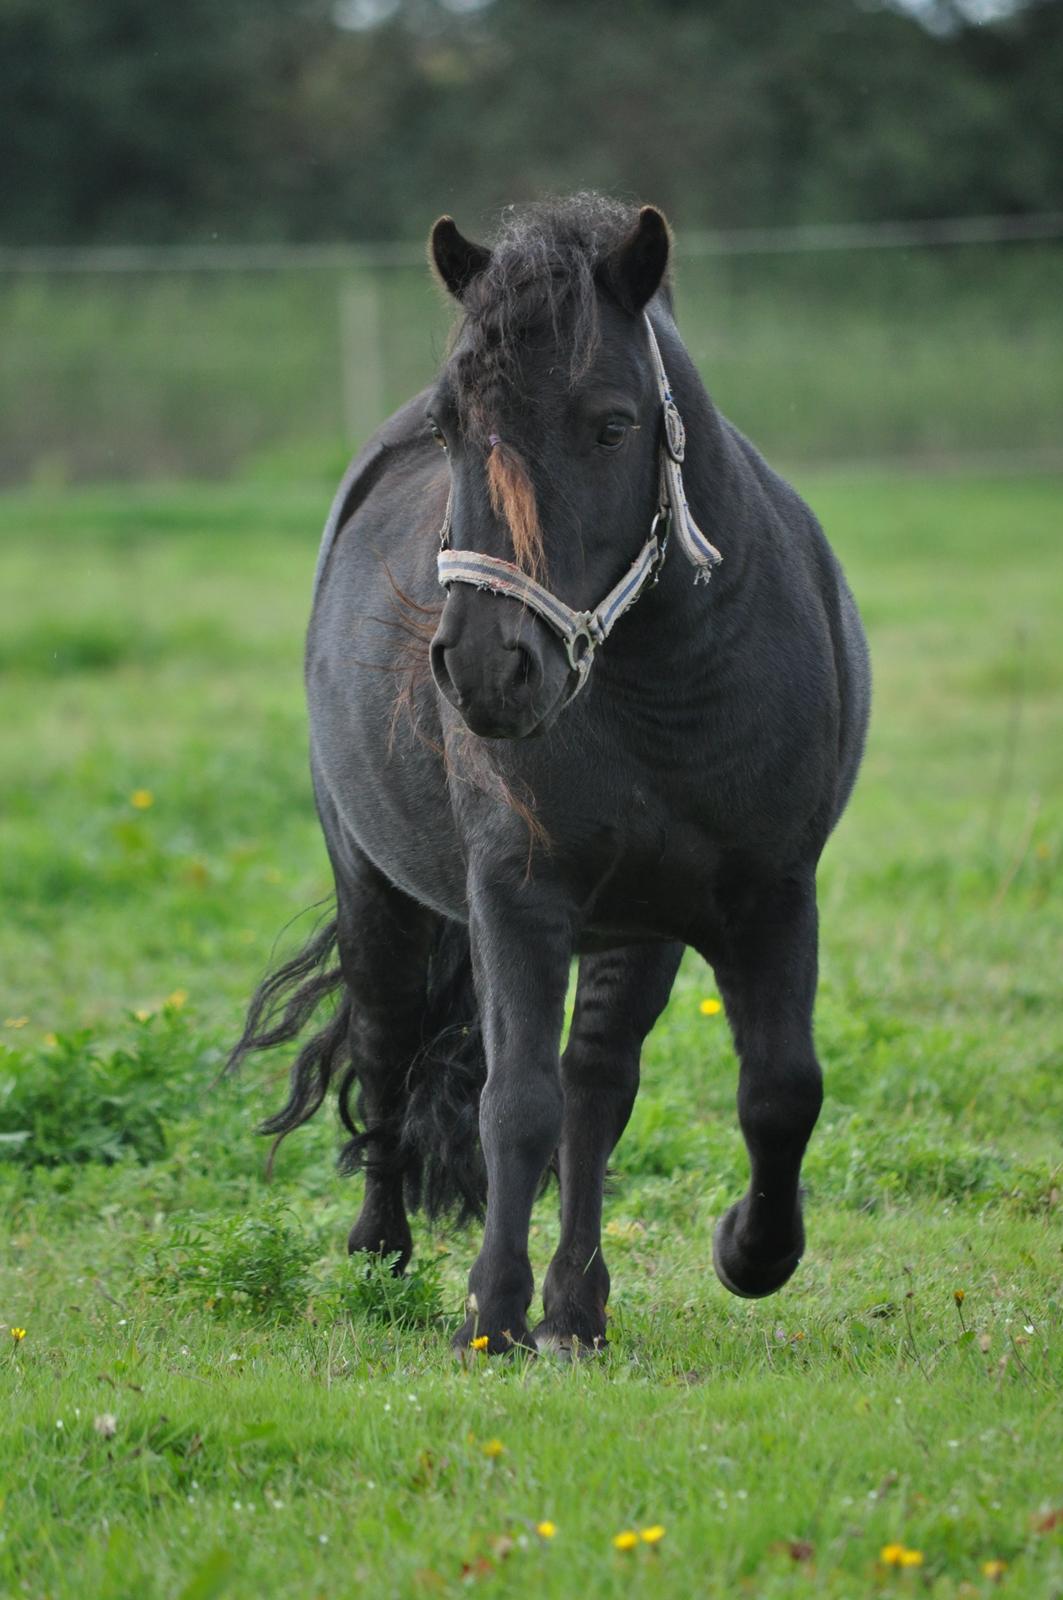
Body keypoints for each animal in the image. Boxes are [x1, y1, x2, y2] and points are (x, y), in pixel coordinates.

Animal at [228, 193, 870, 1356]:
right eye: (450, 429)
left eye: (612, 425)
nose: (488, 666)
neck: (667, 688)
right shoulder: (517, 896)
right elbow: (513, 1101)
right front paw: (490, 1312)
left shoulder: (768, 894)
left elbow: (777, 1091)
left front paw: (747, 1253)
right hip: (378, 891)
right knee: (389, 1050)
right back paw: (384, 1256)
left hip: (636, 928)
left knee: (596, 1086)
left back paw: (578, 1306)